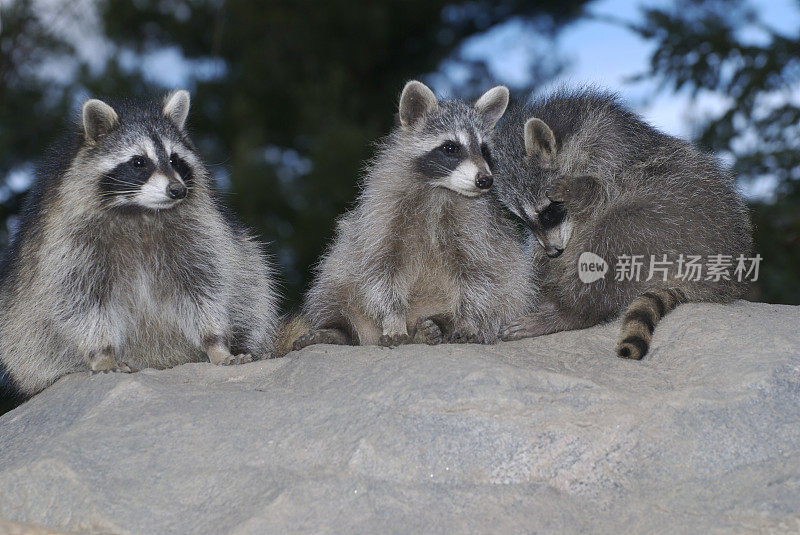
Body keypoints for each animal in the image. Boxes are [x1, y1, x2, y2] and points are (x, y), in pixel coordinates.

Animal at [0, 89, 282, 398]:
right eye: (139, 162)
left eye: (174, 159)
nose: (177, 190)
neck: (142, 211)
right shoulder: (67, 241)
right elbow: (80, 300)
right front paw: (103, 354)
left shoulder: (199, 232)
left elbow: (206, 286)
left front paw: (217, 344)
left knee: (252, 276)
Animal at [296, 79, 536, 348]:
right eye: (451, 148)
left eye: (484, 150)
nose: (485, 180)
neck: (439, 188)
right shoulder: (380, 215)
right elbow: (379, 270)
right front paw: (393, 319)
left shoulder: (479, 230)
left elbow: (478, 275)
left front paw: (467, 320)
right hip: (341, 273)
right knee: (331, 288)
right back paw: (336, 330)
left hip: (504, 297)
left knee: (506, 295)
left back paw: (435, 327)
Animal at [490, 89, 752, 360]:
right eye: (524, 220)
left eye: (548, 212)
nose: (553, 251)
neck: (575, 132)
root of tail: (719, 284)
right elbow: (539, 247)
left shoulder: (614, 153)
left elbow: (600, 195)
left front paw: (577, 189)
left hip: (670, 225)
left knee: (613, 233)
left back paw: (572, 313)